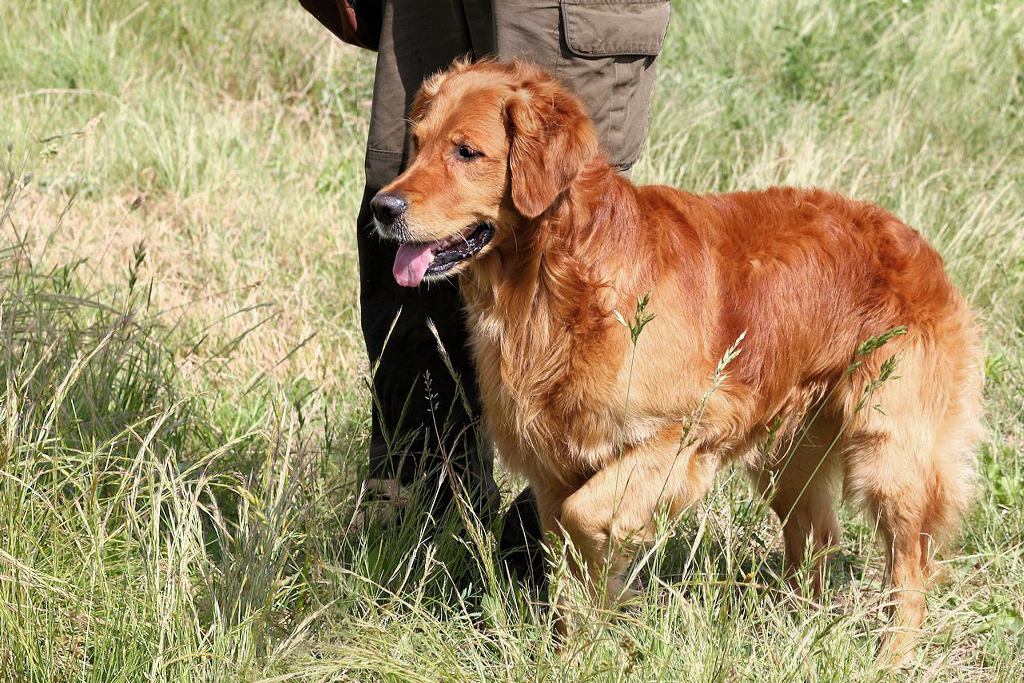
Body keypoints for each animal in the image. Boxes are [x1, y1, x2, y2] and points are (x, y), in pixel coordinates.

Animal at [370, 58, 983, 663]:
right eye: (417, 143)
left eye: (466, 151)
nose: (382, 207)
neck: (558, 278)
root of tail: (915, 241)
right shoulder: (552, 470)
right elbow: (568, 573)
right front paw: (576, 652)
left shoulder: (684, 433)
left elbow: (586, 518)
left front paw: (613, 597)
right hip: (789, 461)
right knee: (817, 544)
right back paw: (793, 635)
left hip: (890, 455)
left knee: (909, 569)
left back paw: (891, 656)